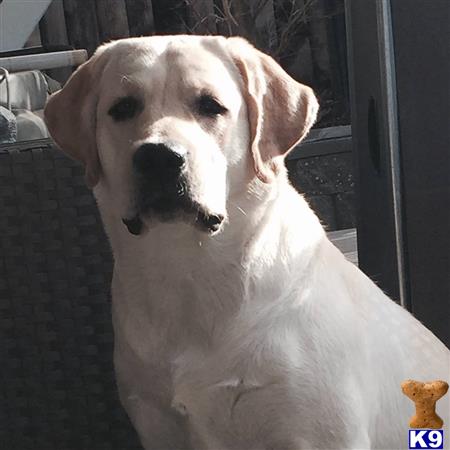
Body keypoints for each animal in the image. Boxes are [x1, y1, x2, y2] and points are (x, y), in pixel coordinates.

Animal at [44, 36, 448, 450]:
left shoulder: (322, 433)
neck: (190, 270)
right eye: (123, 107)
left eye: (210, 106)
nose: (159, 157)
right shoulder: (158, 425)